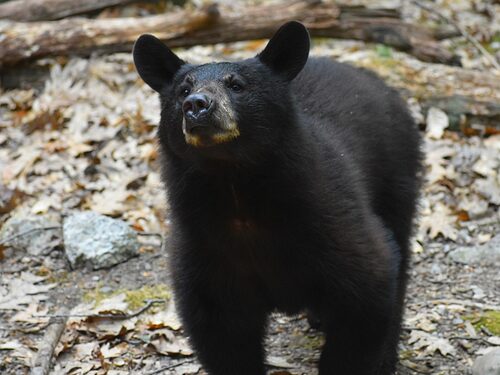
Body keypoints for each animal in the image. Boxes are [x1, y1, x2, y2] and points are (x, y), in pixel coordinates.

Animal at [133, 21, 422, 375]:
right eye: (182, 91)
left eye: (237, 85)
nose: (197, 105)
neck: (237, 192)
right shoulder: (205, 247)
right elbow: (222, 332)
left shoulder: (331, 220)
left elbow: (367, 289)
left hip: (396, 176)